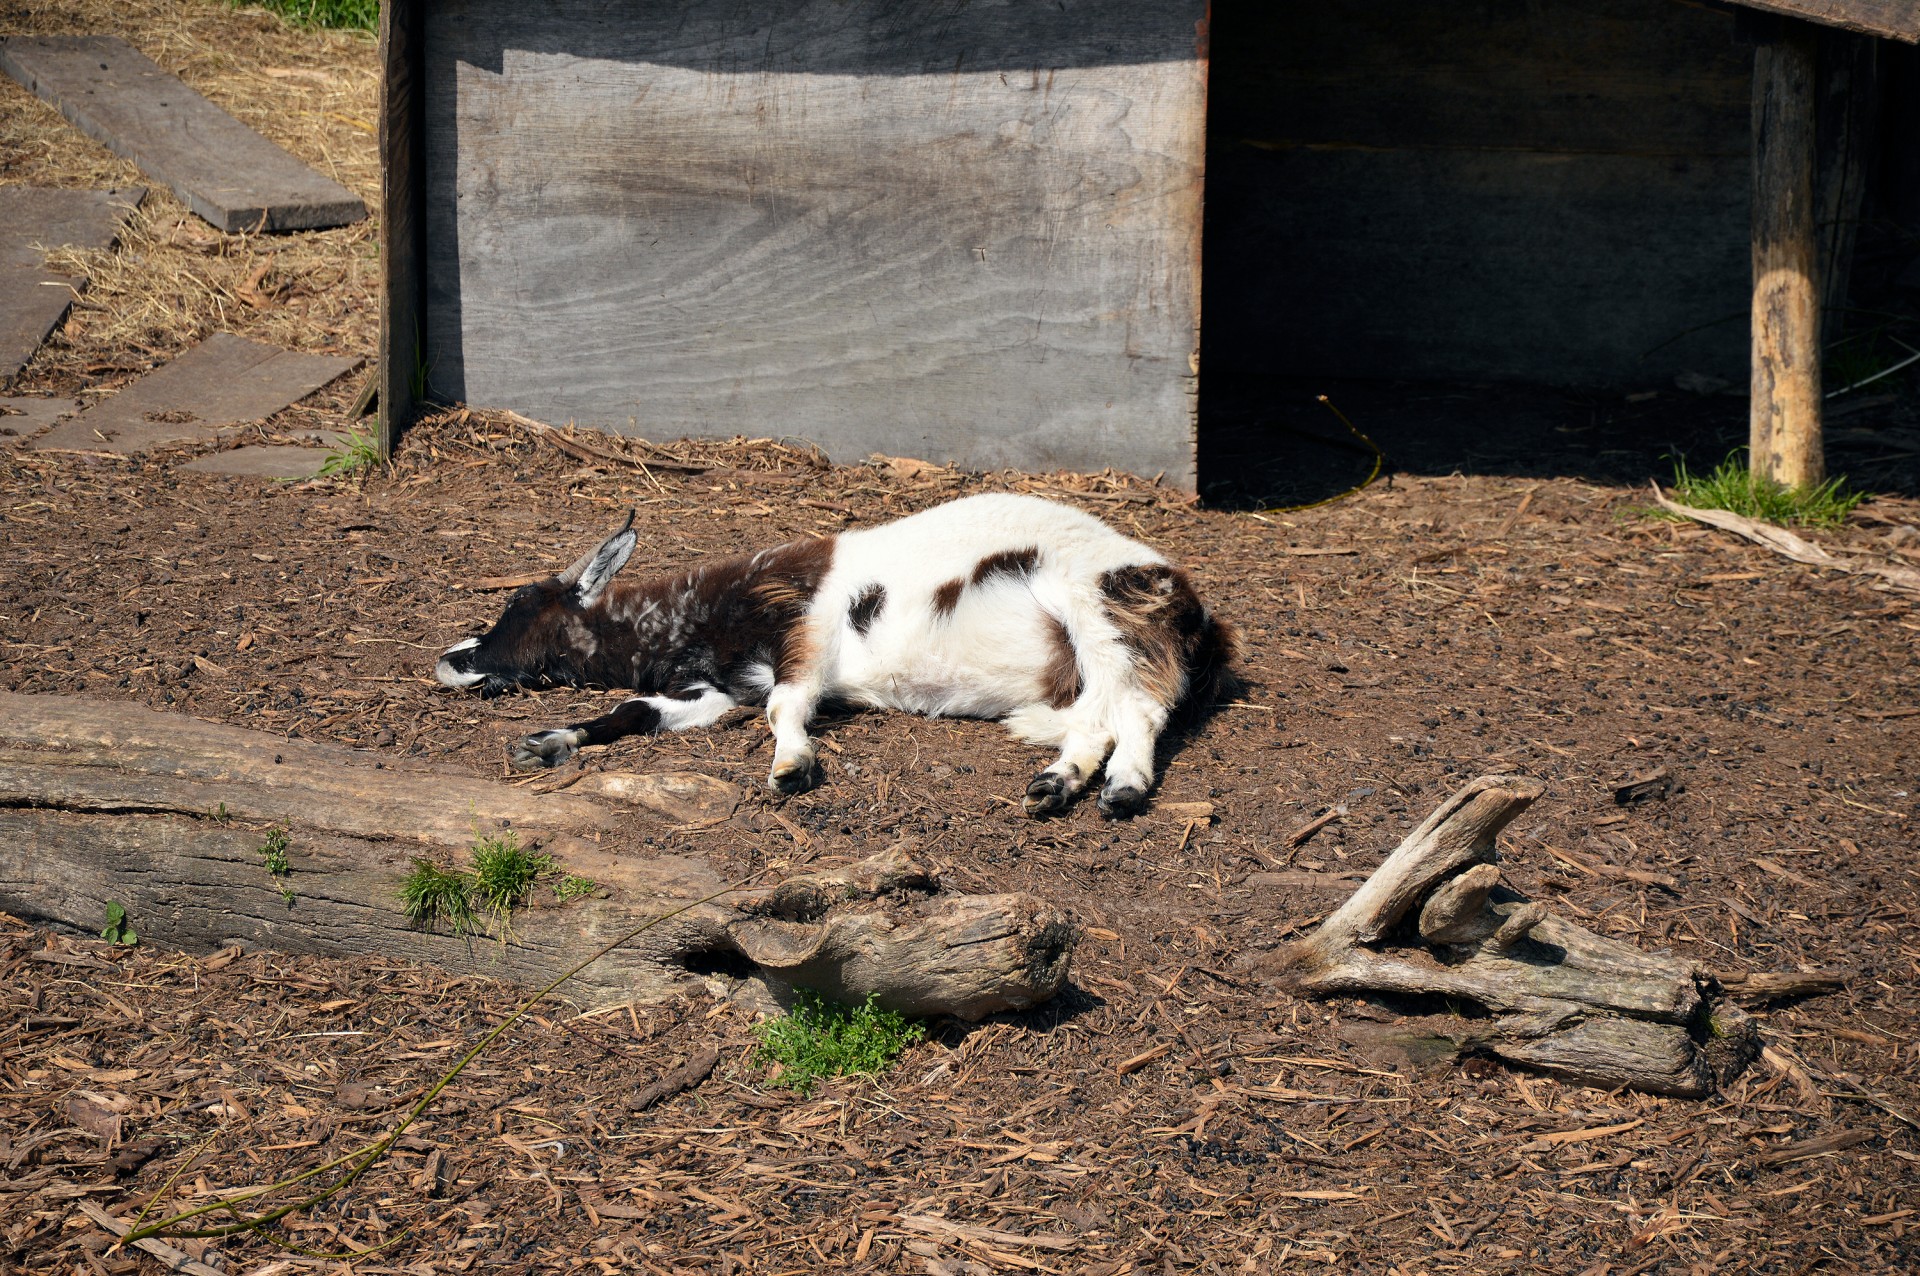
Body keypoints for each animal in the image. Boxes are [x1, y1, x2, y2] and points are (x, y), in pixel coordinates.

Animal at [439, 491, 1228, 809]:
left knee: (1137, 709)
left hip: (1103, 614)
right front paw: (547, 742)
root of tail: (1184, 595)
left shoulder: (803, 628)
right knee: (1099, 714)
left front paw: (792, 767)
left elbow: (787, 708)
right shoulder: (718, 688)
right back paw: (1060, 783)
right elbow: (635, 711)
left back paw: (1119, 788)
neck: (701, 613)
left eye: (517, 604)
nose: (449, 658)